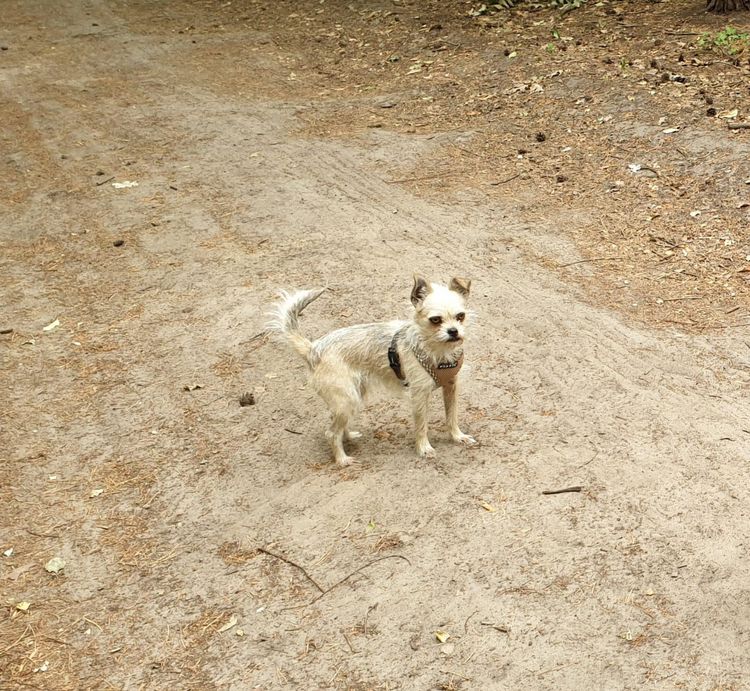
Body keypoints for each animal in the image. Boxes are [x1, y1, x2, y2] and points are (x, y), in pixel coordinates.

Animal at [274, 276, 478, 464]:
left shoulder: (451, 387)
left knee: (337, 423)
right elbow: (421, 426)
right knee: (331, 433)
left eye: (460, 316)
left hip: (352, 397)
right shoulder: (419, 395)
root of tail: (313, 349)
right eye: (435, 320)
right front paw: (424, 448)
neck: (438, 351)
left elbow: (451, 416)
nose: (453, 331)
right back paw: (342, 460)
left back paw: (348, 436)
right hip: (347, 399)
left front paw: (457, 437)